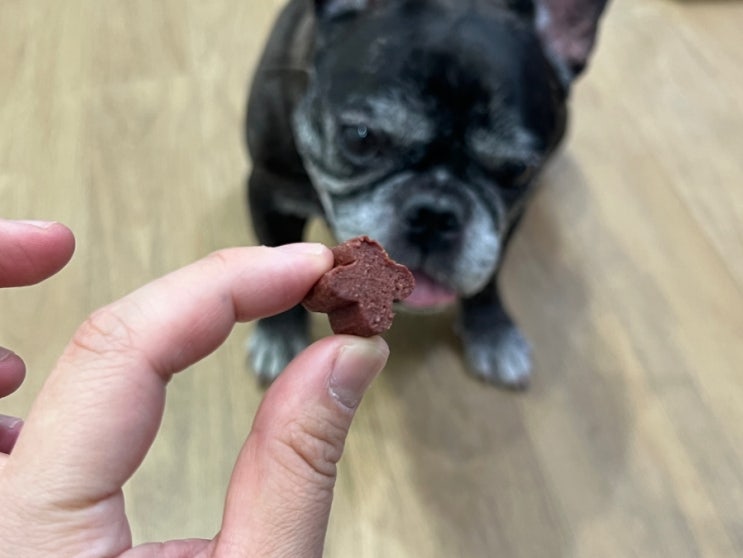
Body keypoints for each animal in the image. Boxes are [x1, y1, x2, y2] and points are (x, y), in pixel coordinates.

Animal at [245, 0, 609, 388]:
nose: (434, 213)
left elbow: (489, 275)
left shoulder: (506, 225)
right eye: (361, 137)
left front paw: (491, 328)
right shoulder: (269, 193)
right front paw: (280, 332)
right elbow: (278, 252)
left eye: (517, 169)